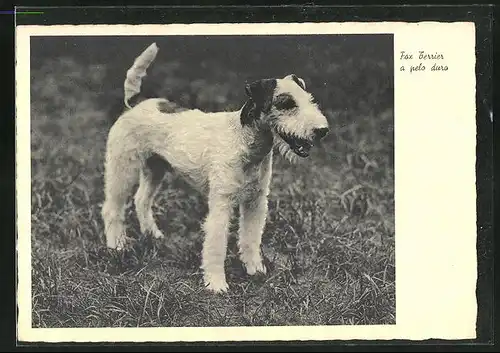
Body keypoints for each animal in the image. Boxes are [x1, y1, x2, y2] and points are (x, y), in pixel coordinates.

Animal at [101, 42, 328, 292]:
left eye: (309, 99)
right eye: (286, 103)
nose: (322, 130)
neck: (244, 142)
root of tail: (137, 103)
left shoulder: (256, 201)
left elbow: (250, 238)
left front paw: (255, 270)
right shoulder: (222, 203)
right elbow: (217, 245)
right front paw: (216, 283)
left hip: (156, 168)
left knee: (141, 199)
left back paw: (153, 235)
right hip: (123, 168)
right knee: (112, 209)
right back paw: (117, 245)